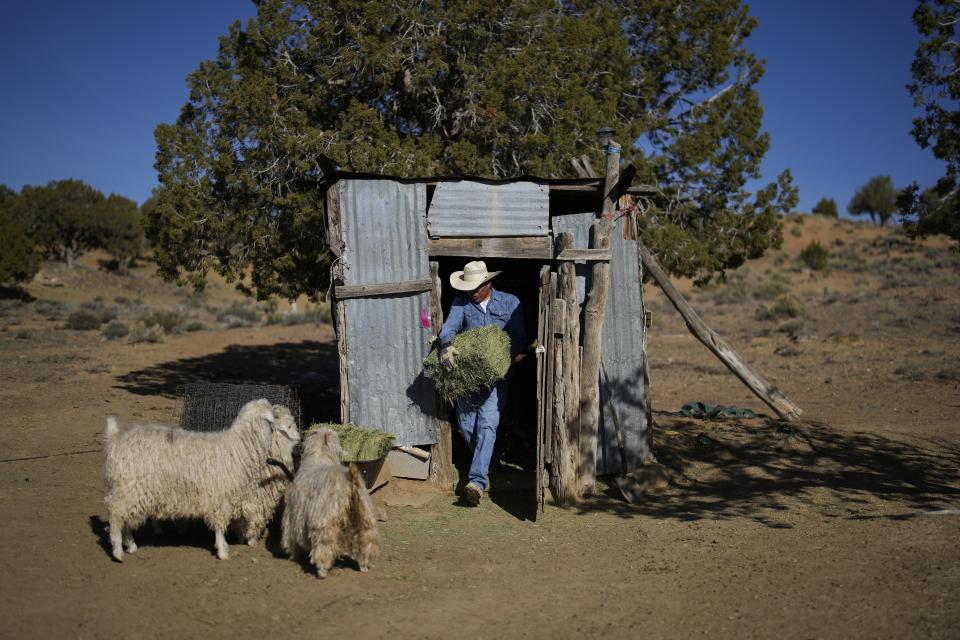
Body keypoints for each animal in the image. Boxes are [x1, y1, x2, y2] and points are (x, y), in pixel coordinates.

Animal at [280, 428, 380, 576]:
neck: (321, 455)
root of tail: (351, 480)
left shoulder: (294, 516)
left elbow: (292, 538)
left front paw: (293, 555)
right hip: (365, 521)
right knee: (365, 545)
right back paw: (364, 566)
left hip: (325, 524)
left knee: (324, 547)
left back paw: (321, 570)